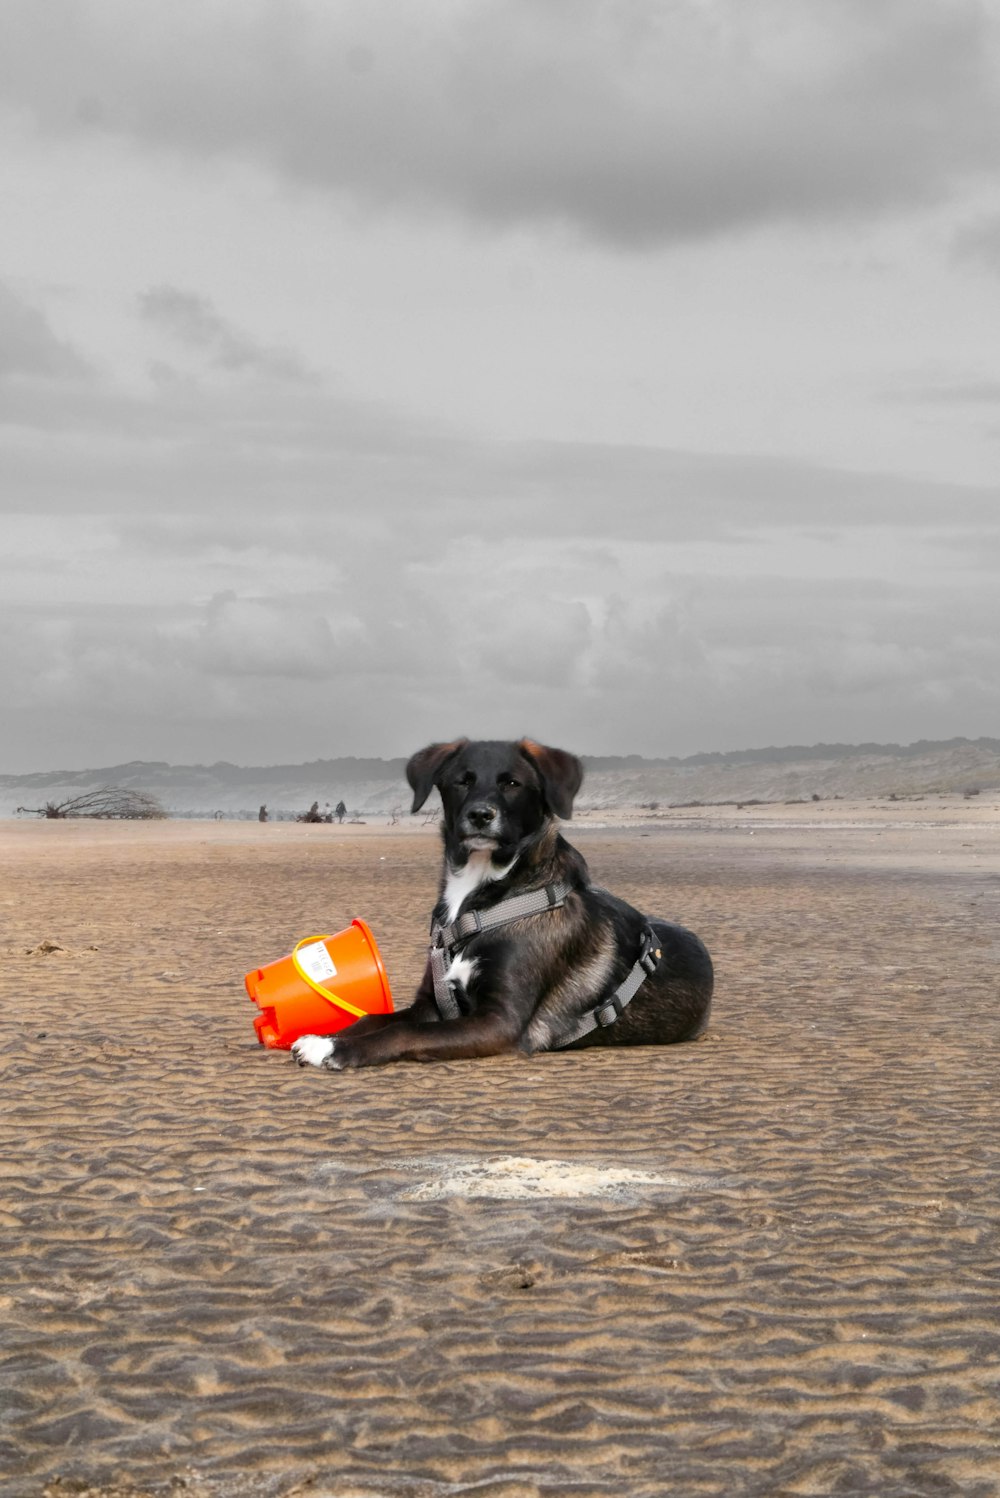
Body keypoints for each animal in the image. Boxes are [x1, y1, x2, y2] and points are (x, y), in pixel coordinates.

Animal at [293, 734, 715, 1066]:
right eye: (461, 782)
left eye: (512, 783)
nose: (480, 815)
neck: (482, 901)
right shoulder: (431, 1003)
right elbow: (374, 1020)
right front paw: (326, 1037)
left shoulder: (499, 1022)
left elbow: (403, 1034)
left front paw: (333, 1049)